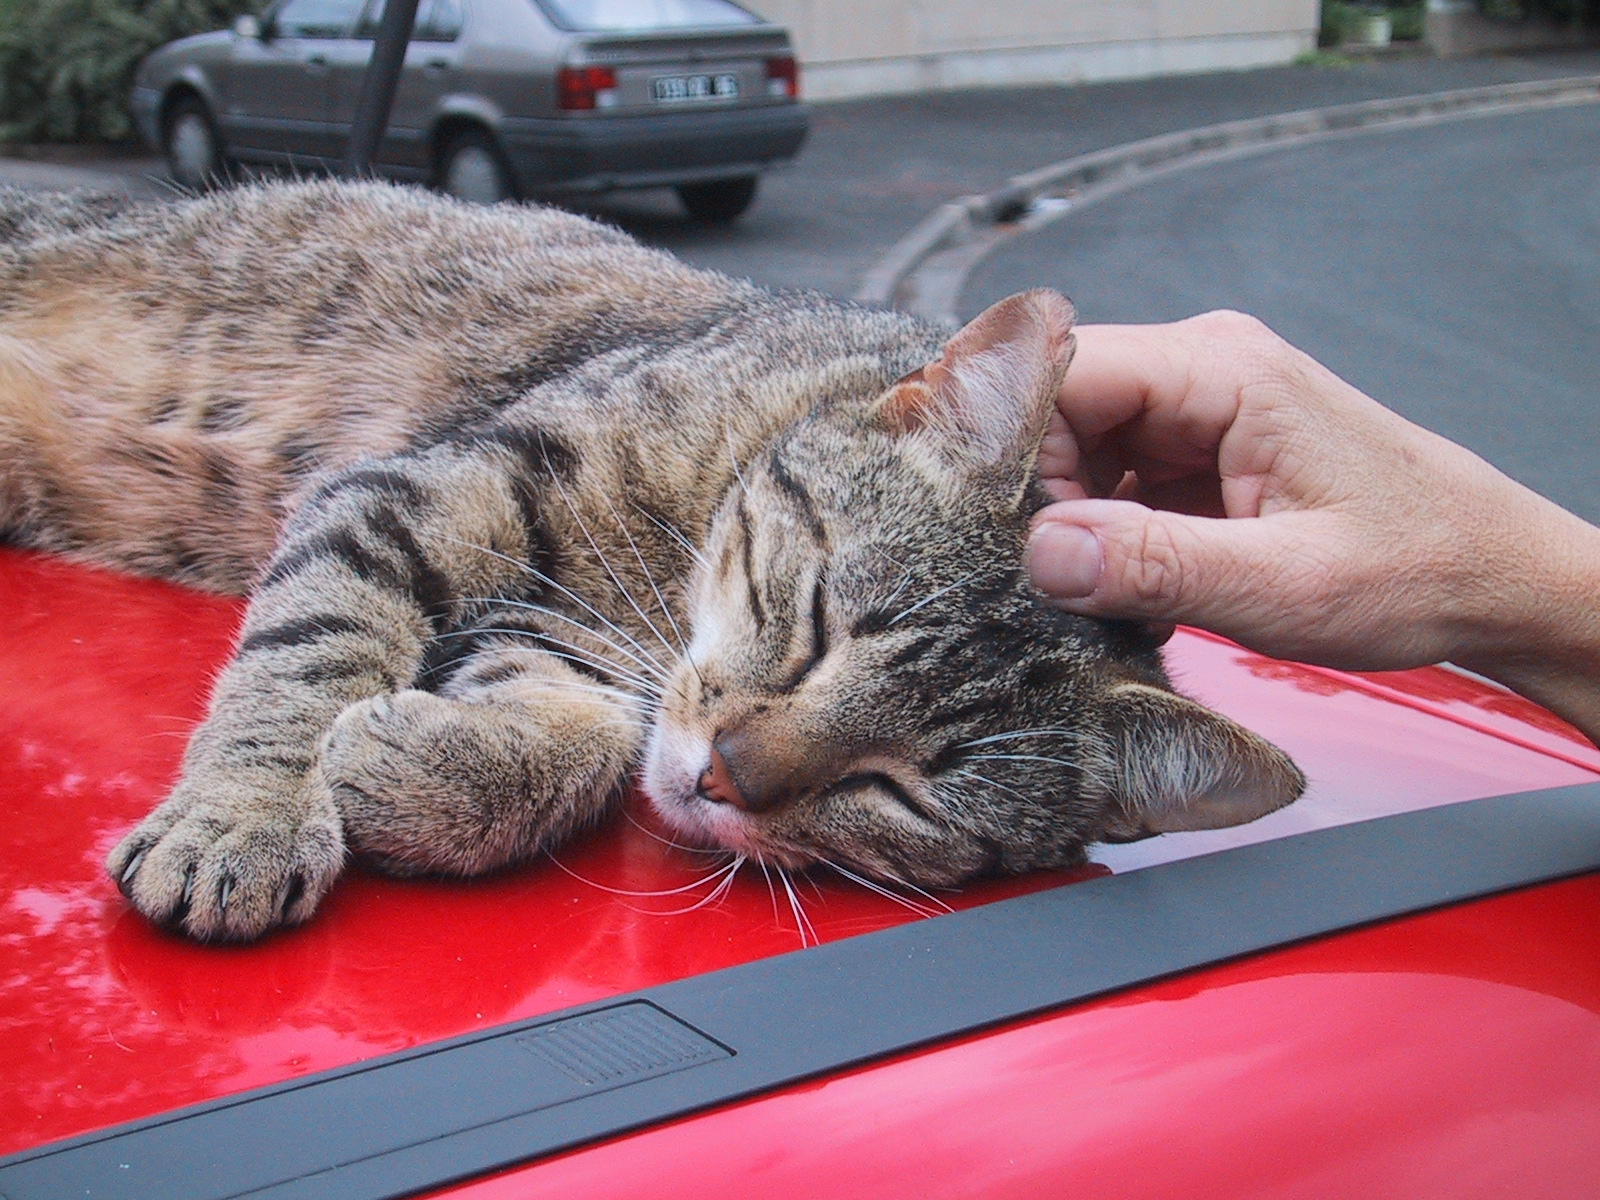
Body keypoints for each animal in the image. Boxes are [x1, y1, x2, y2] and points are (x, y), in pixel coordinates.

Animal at [0, 179, 1305, 942]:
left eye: (900, 791)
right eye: (816, 619)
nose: (726, 774)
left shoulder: (553, 635)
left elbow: (583, 740)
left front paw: (415, 773)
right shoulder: (415, 489)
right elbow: (309, 651)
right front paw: (248, 815)